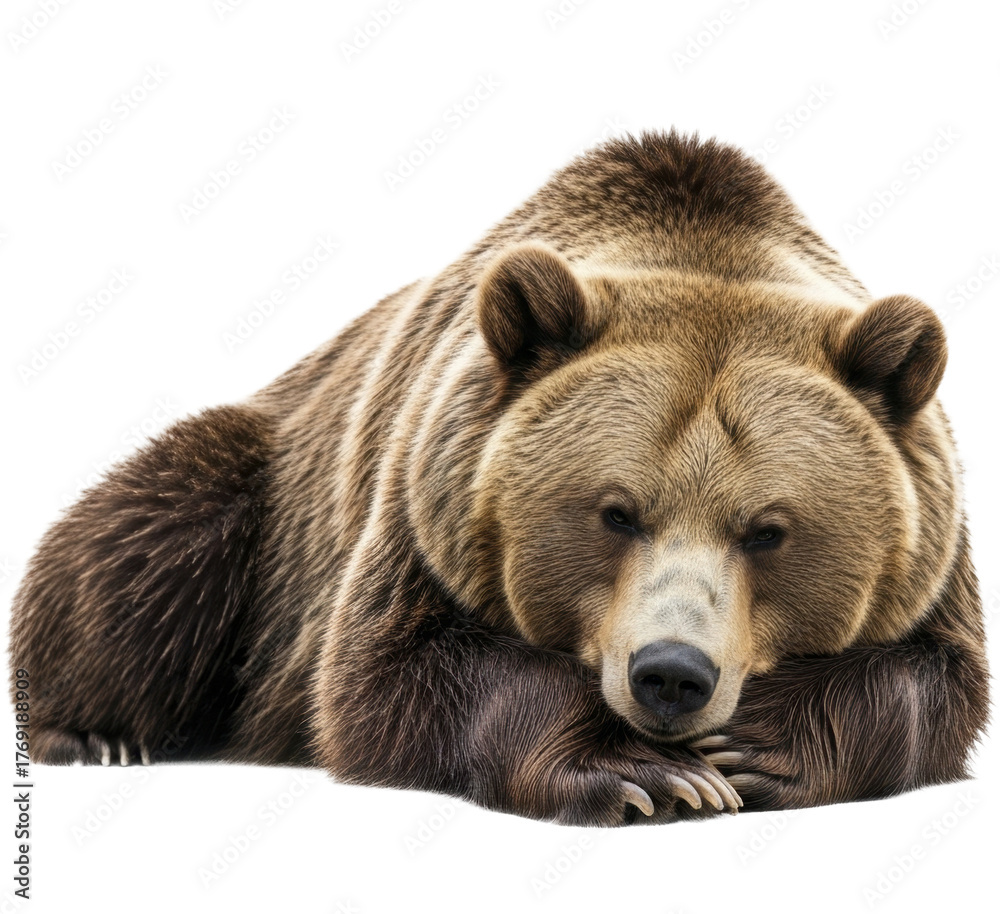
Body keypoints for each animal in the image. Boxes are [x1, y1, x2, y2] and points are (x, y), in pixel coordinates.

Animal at [9, 130, 989, 826]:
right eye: (616, 512)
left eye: (768, 530)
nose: (671, 674)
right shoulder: (421, 503)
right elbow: (389, 682)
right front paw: (644, 772)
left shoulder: (933, 550)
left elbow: (936, 682)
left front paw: (753, 744)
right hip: (268, 499)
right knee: (153, 535)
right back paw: (94, 731)